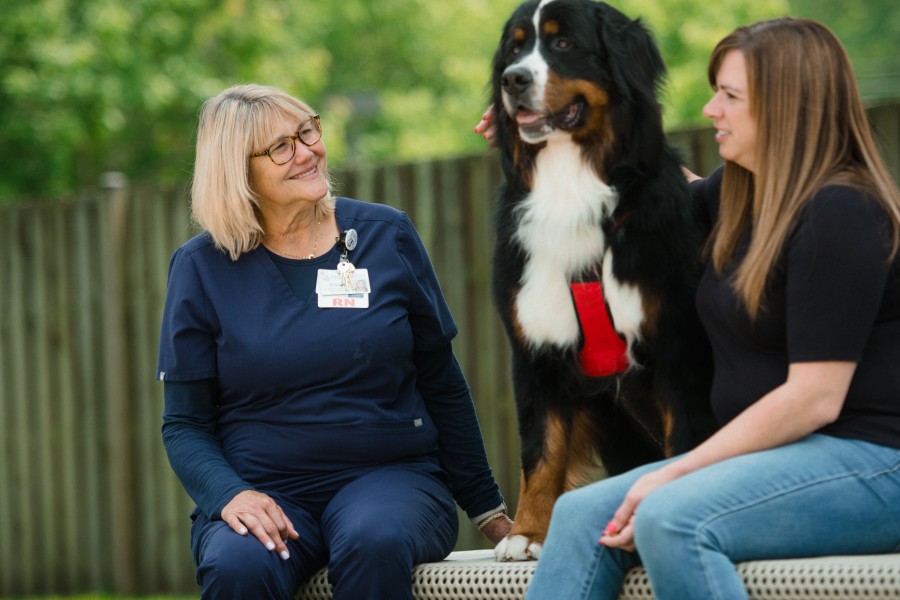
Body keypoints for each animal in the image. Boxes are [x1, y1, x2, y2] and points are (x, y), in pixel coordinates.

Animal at [488, 0, 712, 564]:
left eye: (563, 43)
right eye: (515, 49)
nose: (513, 80)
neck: (570, 188)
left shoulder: (677, 344)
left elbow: (685, 439)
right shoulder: (535, 350)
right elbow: (540, 450)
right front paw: (527, 531)